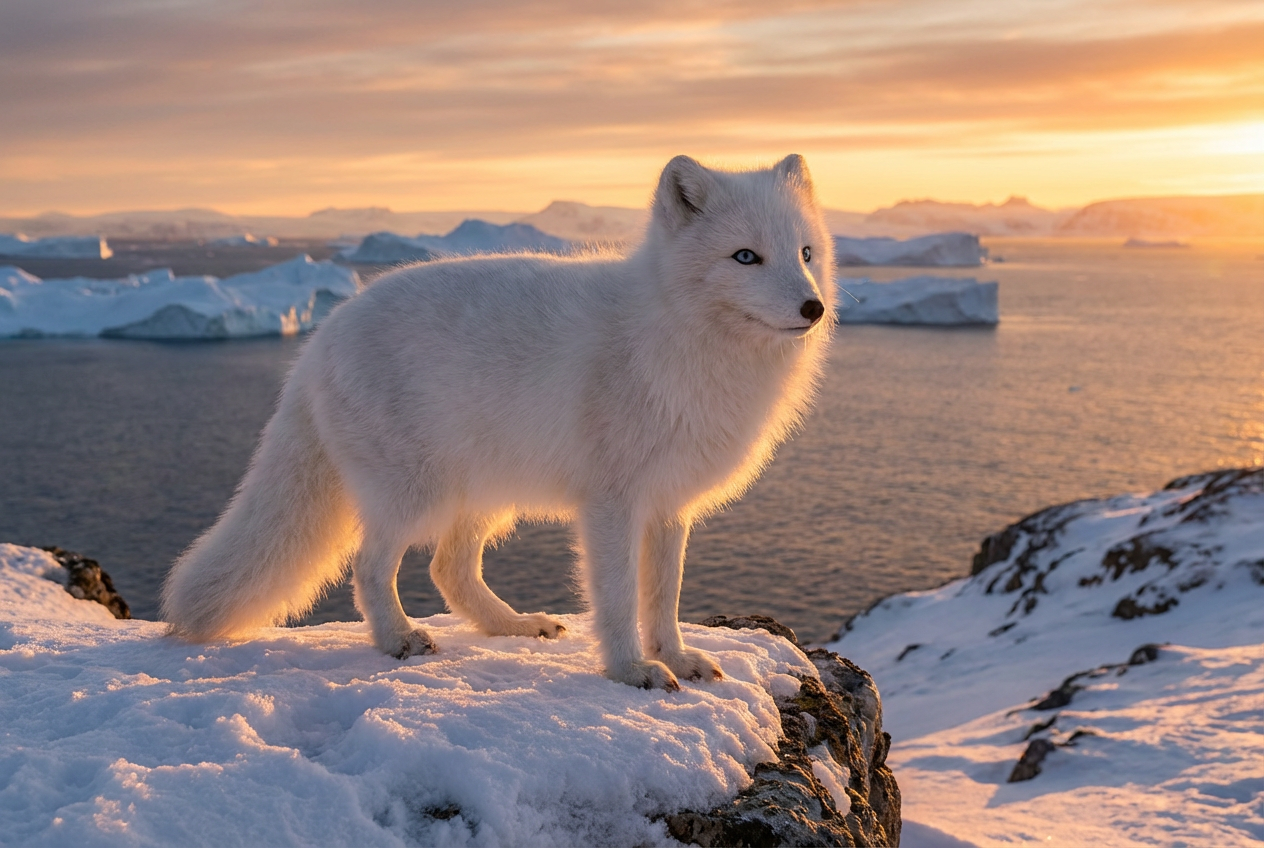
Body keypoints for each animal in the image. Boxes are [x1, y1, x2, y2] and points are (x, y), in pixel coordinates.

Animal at [162, 154, 835, 690]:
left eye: (805, 253)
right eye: (745, 256)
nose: (815, 307)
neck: (676, 336)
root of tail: (319, 338)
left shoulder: (670, 506)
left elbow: (663, 596)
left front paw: (675, 656)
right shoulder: (611, 503)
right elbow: (619, 598)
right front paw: (630, 670)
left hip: (484, 495)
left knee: (449, 569)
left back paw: (513, 625)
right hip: (415, 494)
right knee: (371, 567)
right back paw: (397, 638)